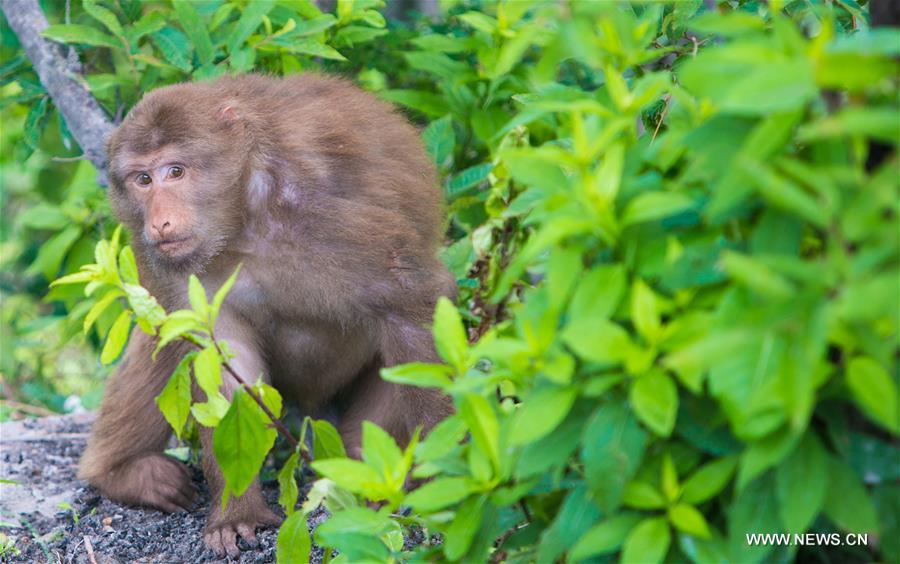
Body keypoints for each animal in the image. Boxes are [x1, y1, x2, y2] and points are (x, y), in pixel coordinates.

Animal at [76, 72, 454, 556]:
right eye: (142, 179)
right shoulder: (165, 262)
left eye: (175, 171)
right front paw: (236, 513)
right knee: (160, 340)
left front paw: (452, 483)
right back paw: (124, 473)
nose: (159, 221)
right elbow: (218, 360)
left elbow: (411, 309)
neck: (242, 218)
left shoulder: (329, 214)